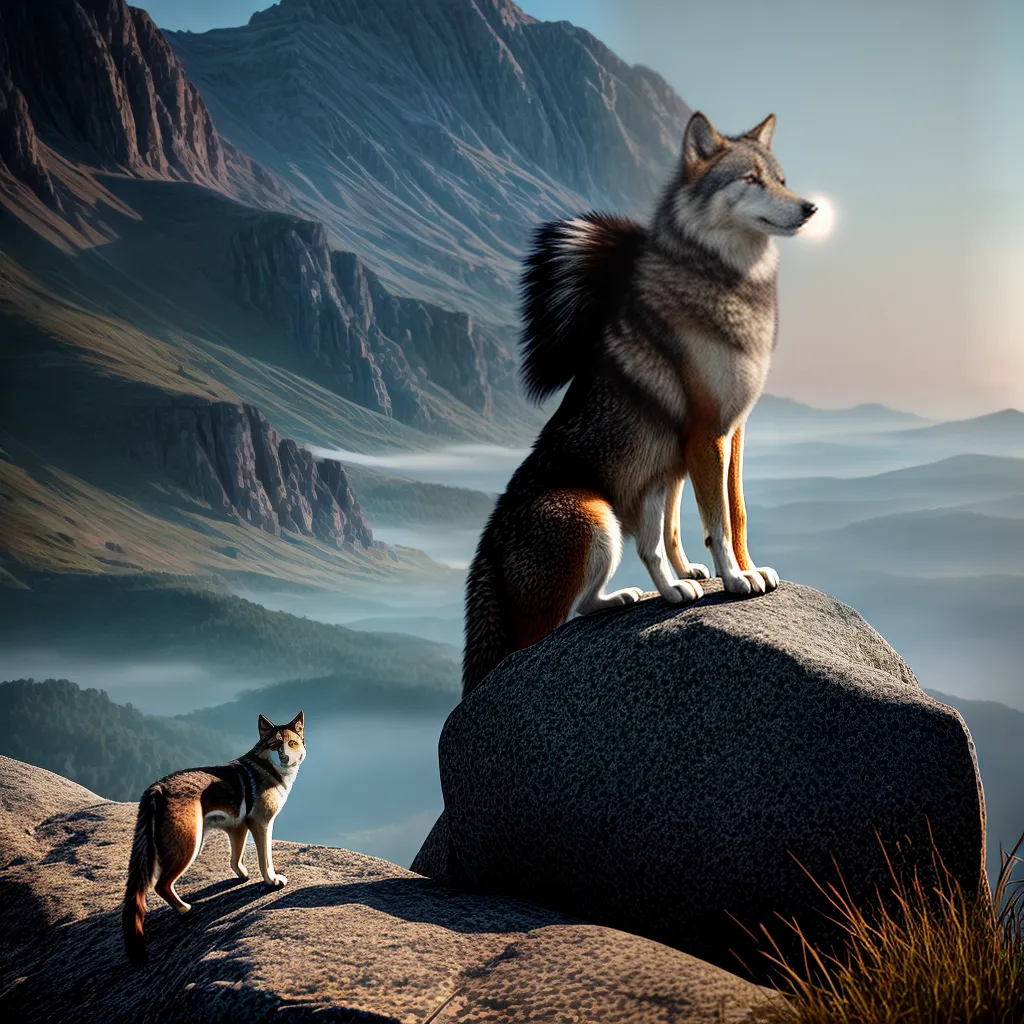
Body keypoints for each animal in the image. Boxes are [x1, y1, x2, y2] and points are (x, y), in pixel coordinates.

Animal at [122, 711, 305, 966]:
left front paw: (242, 876)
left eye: (292, 743)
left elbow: (235, 859)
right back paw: (186, 909)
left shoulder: (237, 828)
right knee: (161, 885)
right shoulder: (261, 824)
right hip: (190, 846)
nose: (286, 758)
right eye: (275, 745)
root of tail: (157, 788)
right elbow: (265, 860)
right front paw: (272, 881)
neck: (265, 768)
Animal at [462, 111, 817, 697]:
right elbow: (719, 521)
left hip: (647, 486)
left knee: (629, 567)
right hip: (597, 516)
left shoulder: (733, 433)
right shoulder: (706, 433)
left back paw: (661, 593)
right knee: (548, 630)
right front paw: (734, 578)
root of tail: (487, 545)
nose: (810, 208)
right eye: (750, 180)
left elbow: (737, 513)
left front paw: (748, 571)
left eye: (782, 179)